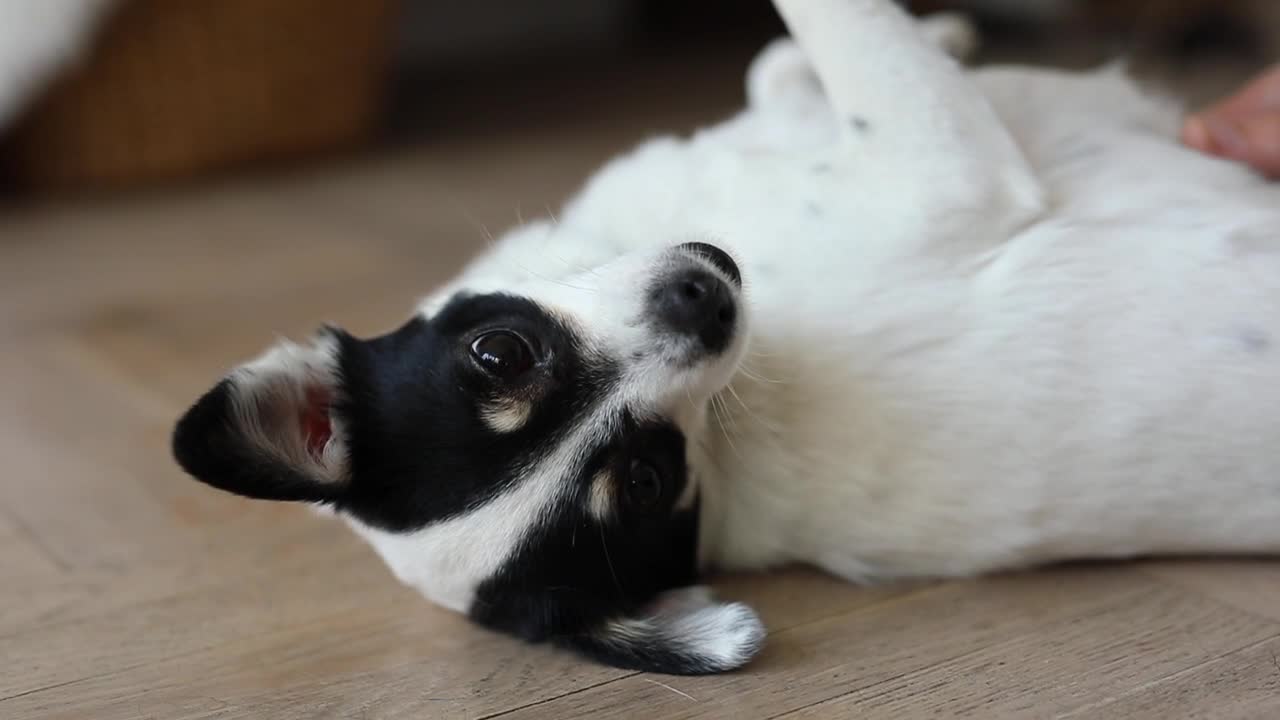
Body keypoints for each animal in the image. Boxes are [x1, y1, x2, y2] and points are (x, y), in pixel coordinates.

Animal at [167, 0, 1280, 671]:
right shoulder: (951, 171)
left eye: (501, 353)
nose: (705, 301)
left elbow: (778, 63)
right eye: (647, 479)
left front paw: (934, 35)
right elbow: (838, 31)